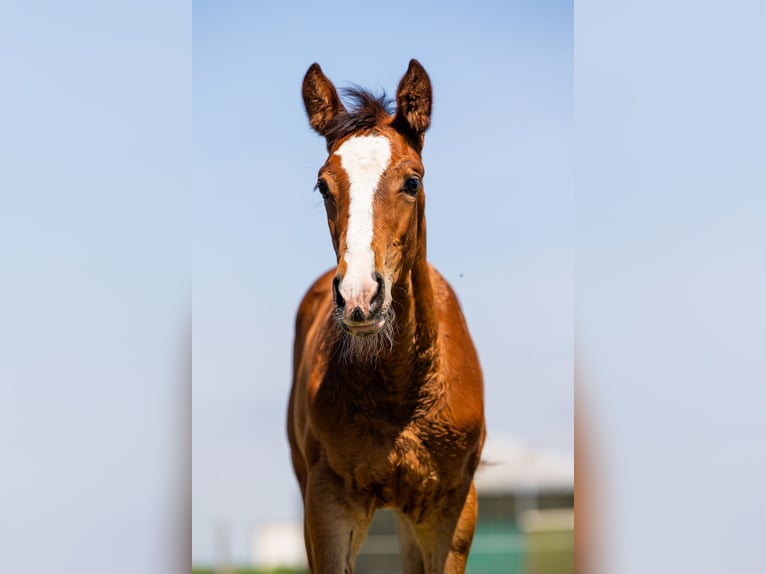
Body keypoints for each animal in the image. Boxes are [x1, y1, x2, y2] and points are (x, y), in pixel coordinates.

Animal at [287, 59, 486, 574]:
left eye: (412, 181)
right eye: (323, 186)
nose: (360, 296)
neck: (401, 390)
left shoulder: (454, 508)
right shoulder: (327, 504)